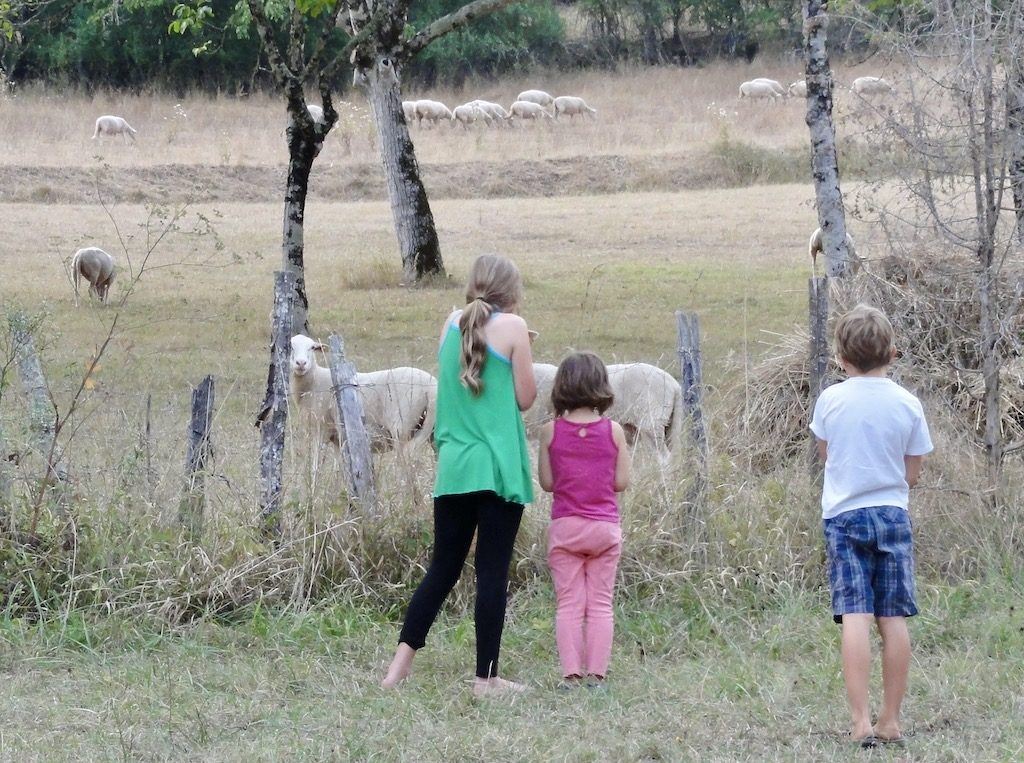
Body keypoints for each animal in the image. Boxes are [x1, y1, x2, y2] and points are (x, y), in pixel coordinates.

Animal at [288, 333, 436, 458]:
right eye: (291, 347)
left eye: (312, 347)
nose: (301, 363)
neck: (314, 381)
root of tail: (431, 387)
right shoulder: (337, 437)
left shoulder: (320, 429)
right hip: (432, 431)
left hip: (402, 428)